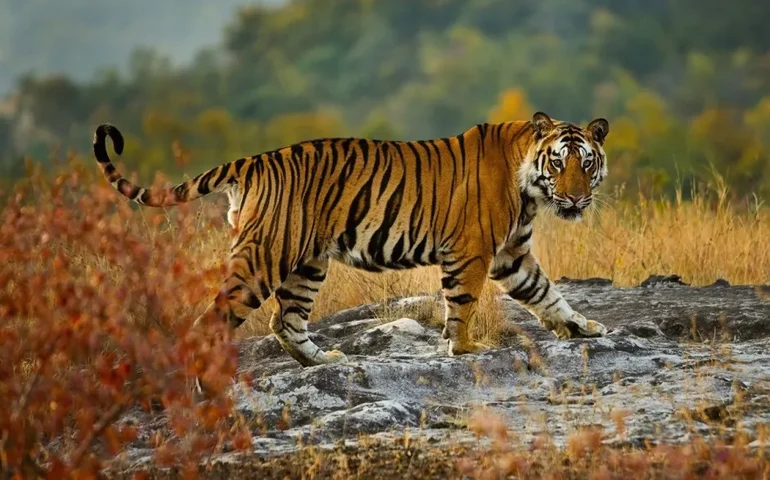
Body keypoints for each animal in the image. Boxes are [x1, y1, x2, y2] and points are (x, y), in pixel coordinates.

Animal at [92, 111, 610, 367]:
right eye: (558, 163)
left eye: (586, 164)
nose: (576, 199)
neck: (530, 189)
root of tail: (253, 160)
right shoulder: (472, 252)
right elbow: (462, 304)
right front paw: (464, 350)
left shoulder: (511, 254)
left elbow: (547, 293)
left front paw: (582, 327)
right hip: (264, 257)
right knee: (212, 321)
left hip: (306, 263)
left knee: (286, 321)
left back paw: (323, 361)